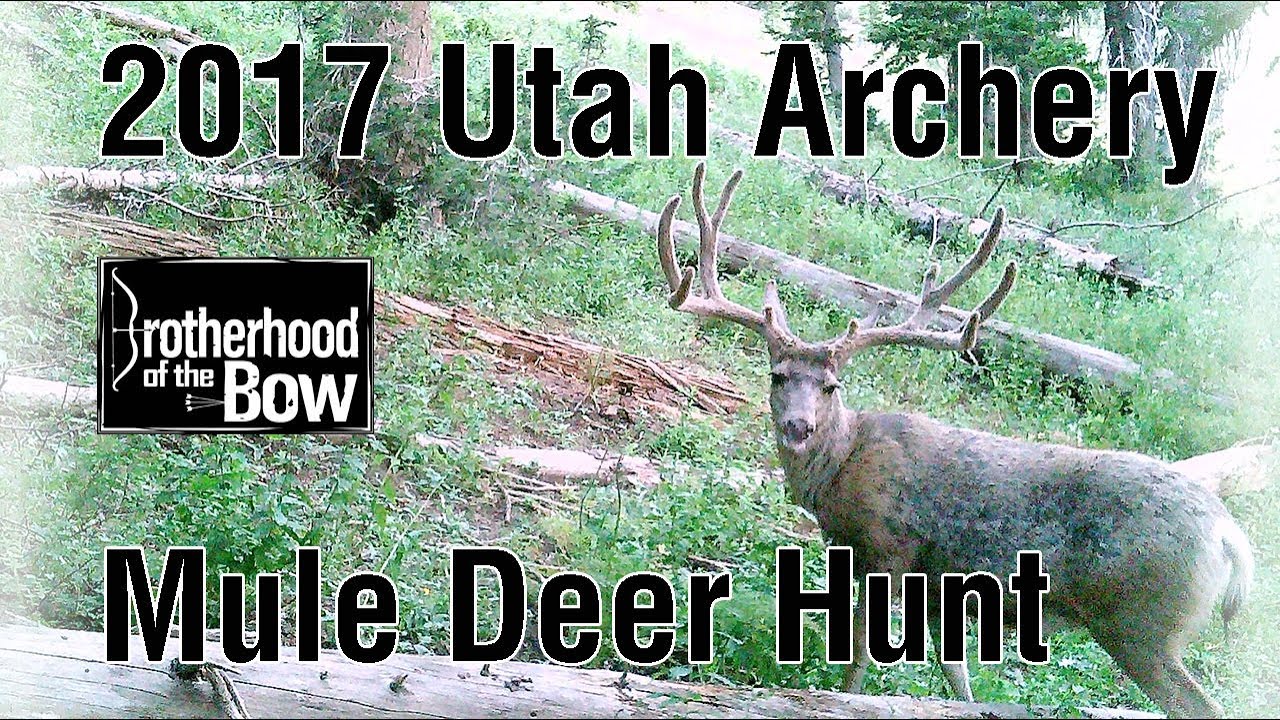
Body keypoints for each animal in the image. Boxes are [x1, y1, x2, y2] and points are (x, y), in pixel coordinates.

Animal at [653, 163, 1254, 719]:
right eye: (777, 375)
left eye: (831, 385)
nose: (798, 426)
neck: (841, 465)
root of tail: (1229, 535)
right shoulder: (941, 584)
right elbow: (956, 670)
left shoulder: (887, 549)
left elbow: (861, 657)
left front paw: (843, 697)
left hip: (1143, 621)